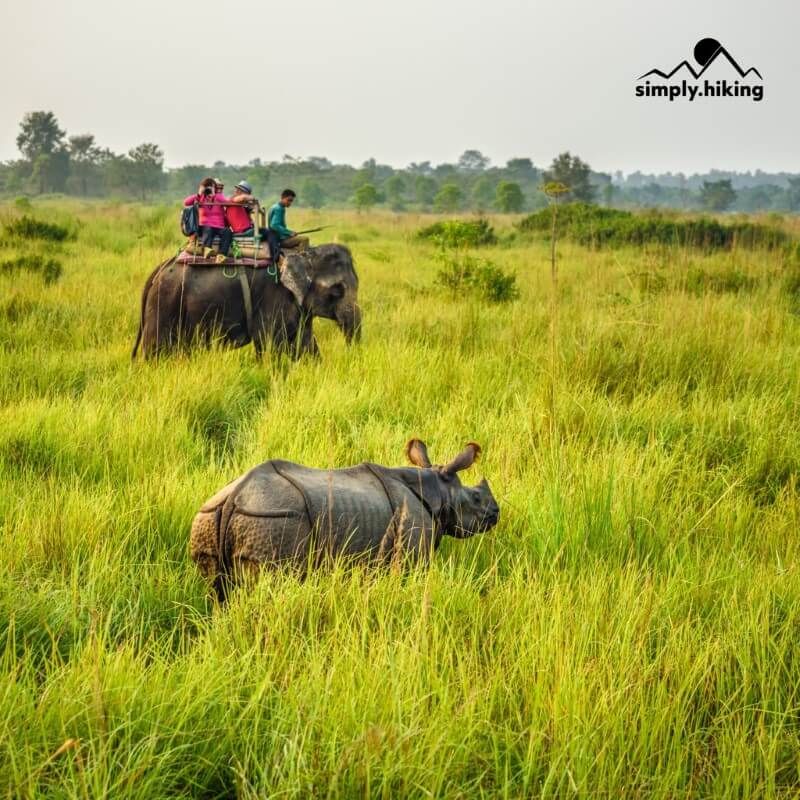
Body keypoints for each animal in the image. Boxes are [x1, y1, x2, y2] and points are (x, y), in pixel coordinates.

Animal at [130, 242, 360, 358]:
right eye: (337, 290)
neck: (304, 254)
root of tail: (160, 268)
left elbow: (306, 343)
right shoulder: (274, 297)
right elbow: (268, 344)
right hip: (165, 300)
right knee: (156, 348)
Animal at [190, 438, 496, 600]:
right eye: (476, 498)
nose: (497, 513)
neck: (438, 491)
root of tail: (233, 498)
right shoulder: (412, 548)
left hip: (210, 517)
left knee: (216, 591)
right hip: (274, 520)